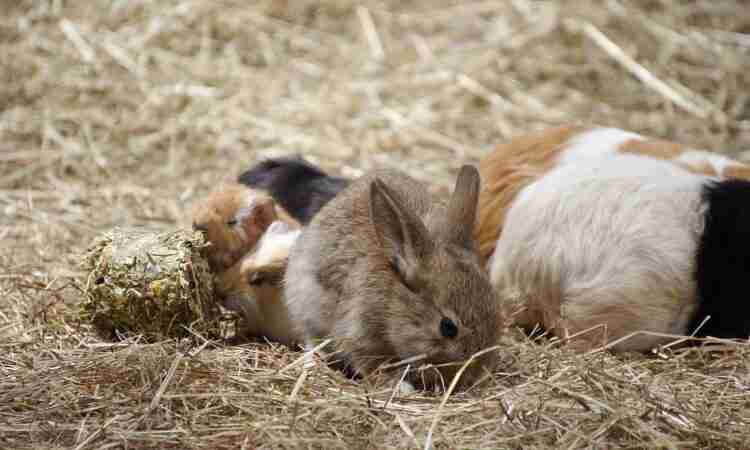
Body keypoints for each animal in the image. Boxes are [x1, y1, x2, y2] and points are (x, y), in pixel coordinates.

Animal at [284, 165, 504, 390]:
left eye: (498, 314)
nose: (474, 375)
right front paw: (401, 387)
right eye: (448, 327)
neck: (394, 300)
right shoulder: (358, 334)